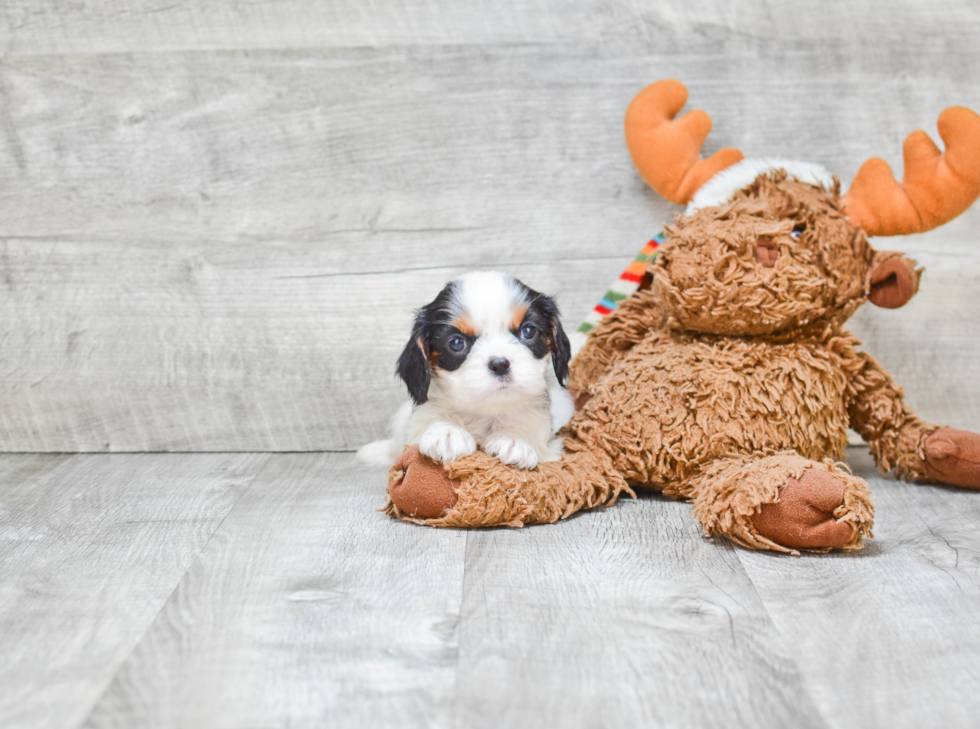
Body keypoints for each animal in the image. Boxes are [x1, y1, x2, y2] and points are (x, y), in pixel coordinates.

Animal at [358, 270, 576, 470]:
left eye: (528, 331)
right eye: (456, 343)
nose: (499, 364)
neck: (487, 411)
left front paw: (515, 439)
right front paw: (447, 432)